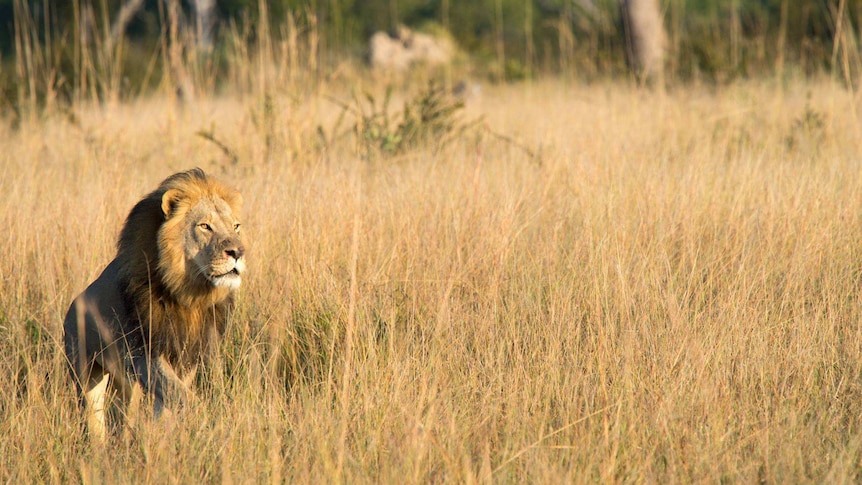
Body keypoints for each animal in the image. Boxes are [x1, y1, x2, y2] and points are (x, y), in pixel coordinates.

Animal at [62, 168, 246, 440]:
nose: (238, 252)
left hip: (125, 382)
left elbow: (169, 398)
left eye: (235, 226)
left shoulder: (188, 353)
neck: (189, 293)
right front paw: (204, 419)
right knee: (94, 413)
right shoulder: (144, 352)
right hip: (85, 369)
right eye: (205, 226)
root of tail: (72, 306)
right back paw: (98, 444)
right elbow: (178, 392)